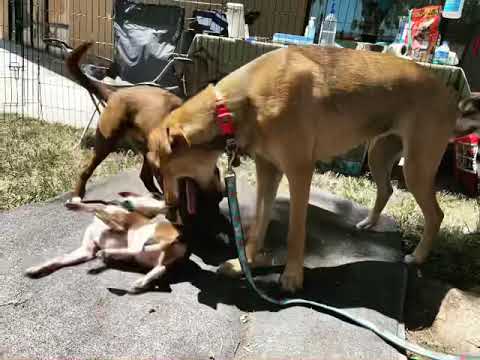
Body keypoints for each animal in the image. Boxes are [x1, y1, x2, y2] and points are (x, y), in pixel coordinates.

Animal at [68, 43, 185, 200]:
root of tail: (114, 94)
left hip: (141, 146)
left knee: (145, 177)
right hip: (105, 143)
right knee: (86, 171)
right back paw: (78, 194)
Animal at [147, 45, 480, 292]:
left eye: (161, 169)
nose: (169, 208)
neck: (237, 105)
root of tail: (451, 97)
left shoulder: (299, 171)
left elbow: (296, 231)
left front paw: (292, 276)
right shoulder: (268, 170)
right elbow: (259, 223)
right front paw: (247, 262)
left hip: (416, 166)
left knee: (435, 214)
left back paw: (418, 256)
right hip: (379, 153)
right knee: (386, 188)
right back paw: (369, 222)